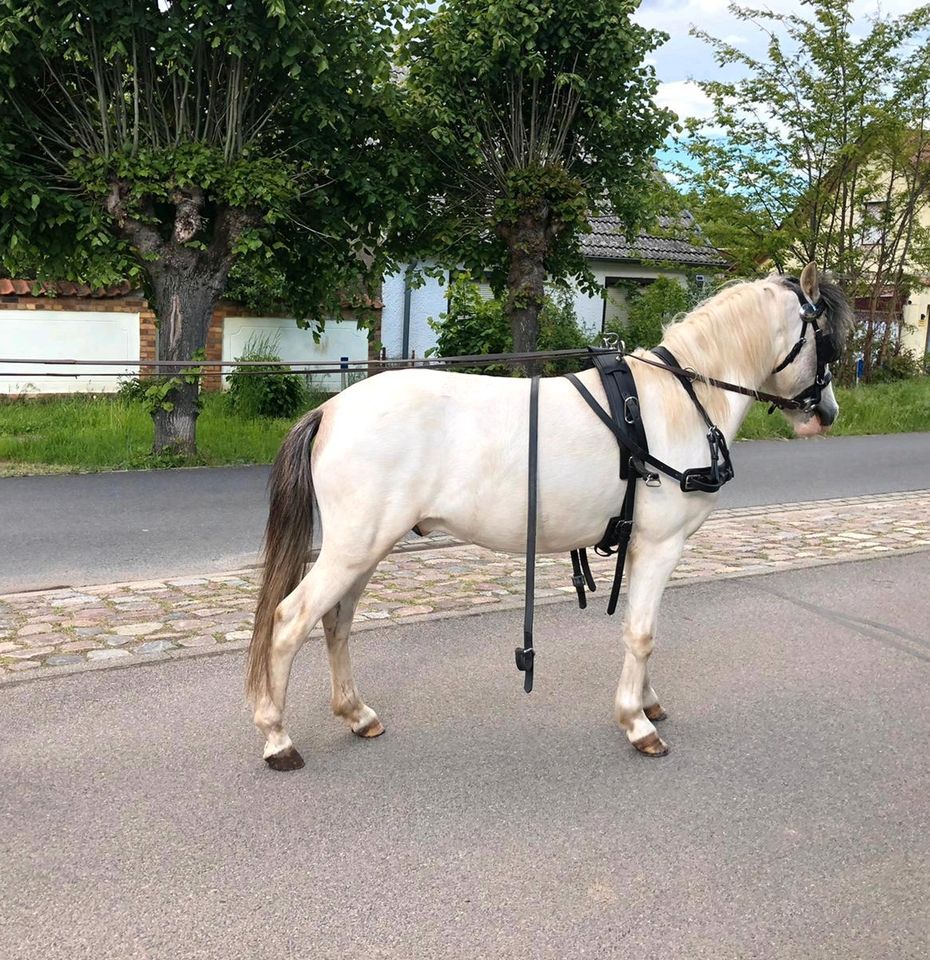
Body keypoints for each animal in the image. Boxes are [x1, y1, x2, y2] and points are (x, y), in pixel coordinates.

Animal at [245, 264, 848, 772]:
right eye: (825, 339)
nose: (827, 414)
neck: (677, 400)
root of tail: (330, 409)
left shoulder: (639, 545)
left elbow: (639, 628)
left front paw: (647, 702)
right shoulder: (660, 544)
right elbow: (643, 632)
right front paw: (637, 723)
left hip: (366, 549)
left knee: (336, 622)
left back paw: (357, 714)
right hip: (355, 548)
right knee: (290, 621)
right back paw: (277, 739)